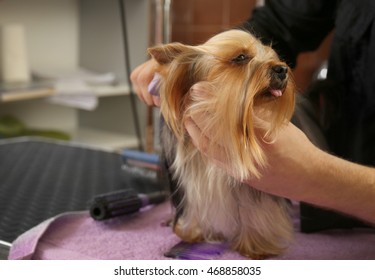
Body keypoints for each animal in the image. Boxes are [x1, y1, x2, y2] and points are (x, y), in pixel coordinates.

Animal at [148, 29, 296, 260]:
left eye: (273, 56)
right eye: (241, 57)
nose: (282, 69)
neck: (220, 123)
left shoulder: (255, 187)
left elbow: (256, 210)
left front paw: (256, 246)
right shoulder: (194, 182)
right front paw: (194, 233)